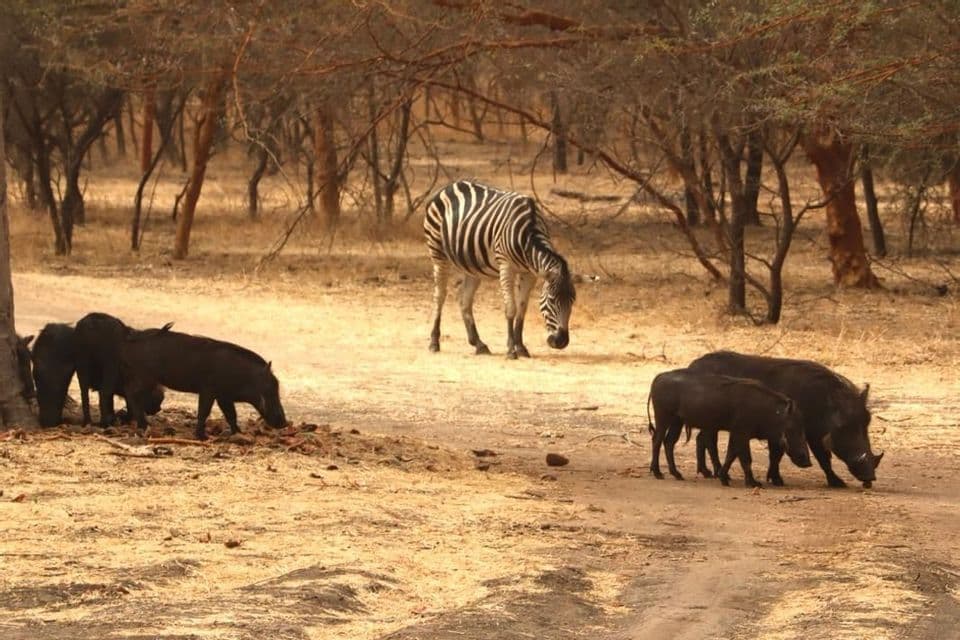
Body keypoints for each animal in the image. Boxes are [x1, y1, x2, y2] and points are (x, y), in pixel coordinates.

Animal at [423, 180, 576, 359]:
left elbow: (522, 308)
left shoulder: (529, 273)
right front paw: (511, 350)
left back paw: (479, 344)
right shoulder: (506, 267)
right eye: (551, 300)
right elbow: (511, 308)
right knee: (439, 296)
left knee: (464, 300)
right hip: (438, 252)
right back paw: (434, 342)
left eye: (572, 301)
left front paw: (521, 347)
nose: (561, 342)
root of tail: (448, 186)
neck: (529, 235)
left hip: (473, 265)